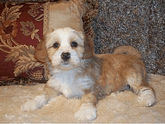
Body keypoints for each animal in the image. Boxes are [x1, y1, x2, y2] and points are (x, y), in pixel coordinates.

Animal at [21, 27, 156, 122]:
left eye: (74, 44)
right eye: (55, 45)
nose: (65, 55)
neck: (68, 71)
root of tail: (134, 56)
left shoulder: (90, 87)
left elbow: (87, 99)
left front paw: (85, 112)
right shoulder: (53, 86)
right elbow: (41, 95)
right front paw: (31, 103)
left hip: (134, 77)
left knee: (147, 88)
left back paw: (148, 99)